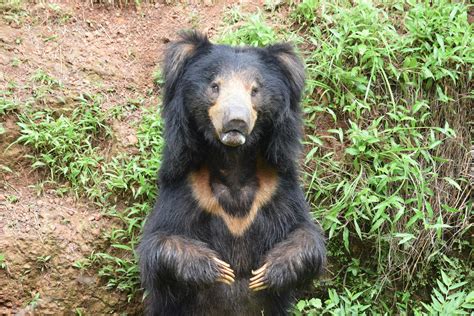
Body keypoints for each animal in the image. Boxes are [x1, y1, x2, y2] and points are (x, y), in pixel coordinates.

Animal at [138, 30, 326, 316]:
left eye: (255, 90)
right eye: (214, 86)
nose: (236, 121)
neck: (233, 162)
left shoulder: (277, 187)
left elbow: (306, 235)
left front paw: (267, 271)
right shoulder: (186, 187)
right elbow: (157, 242)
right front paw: (217, 268)